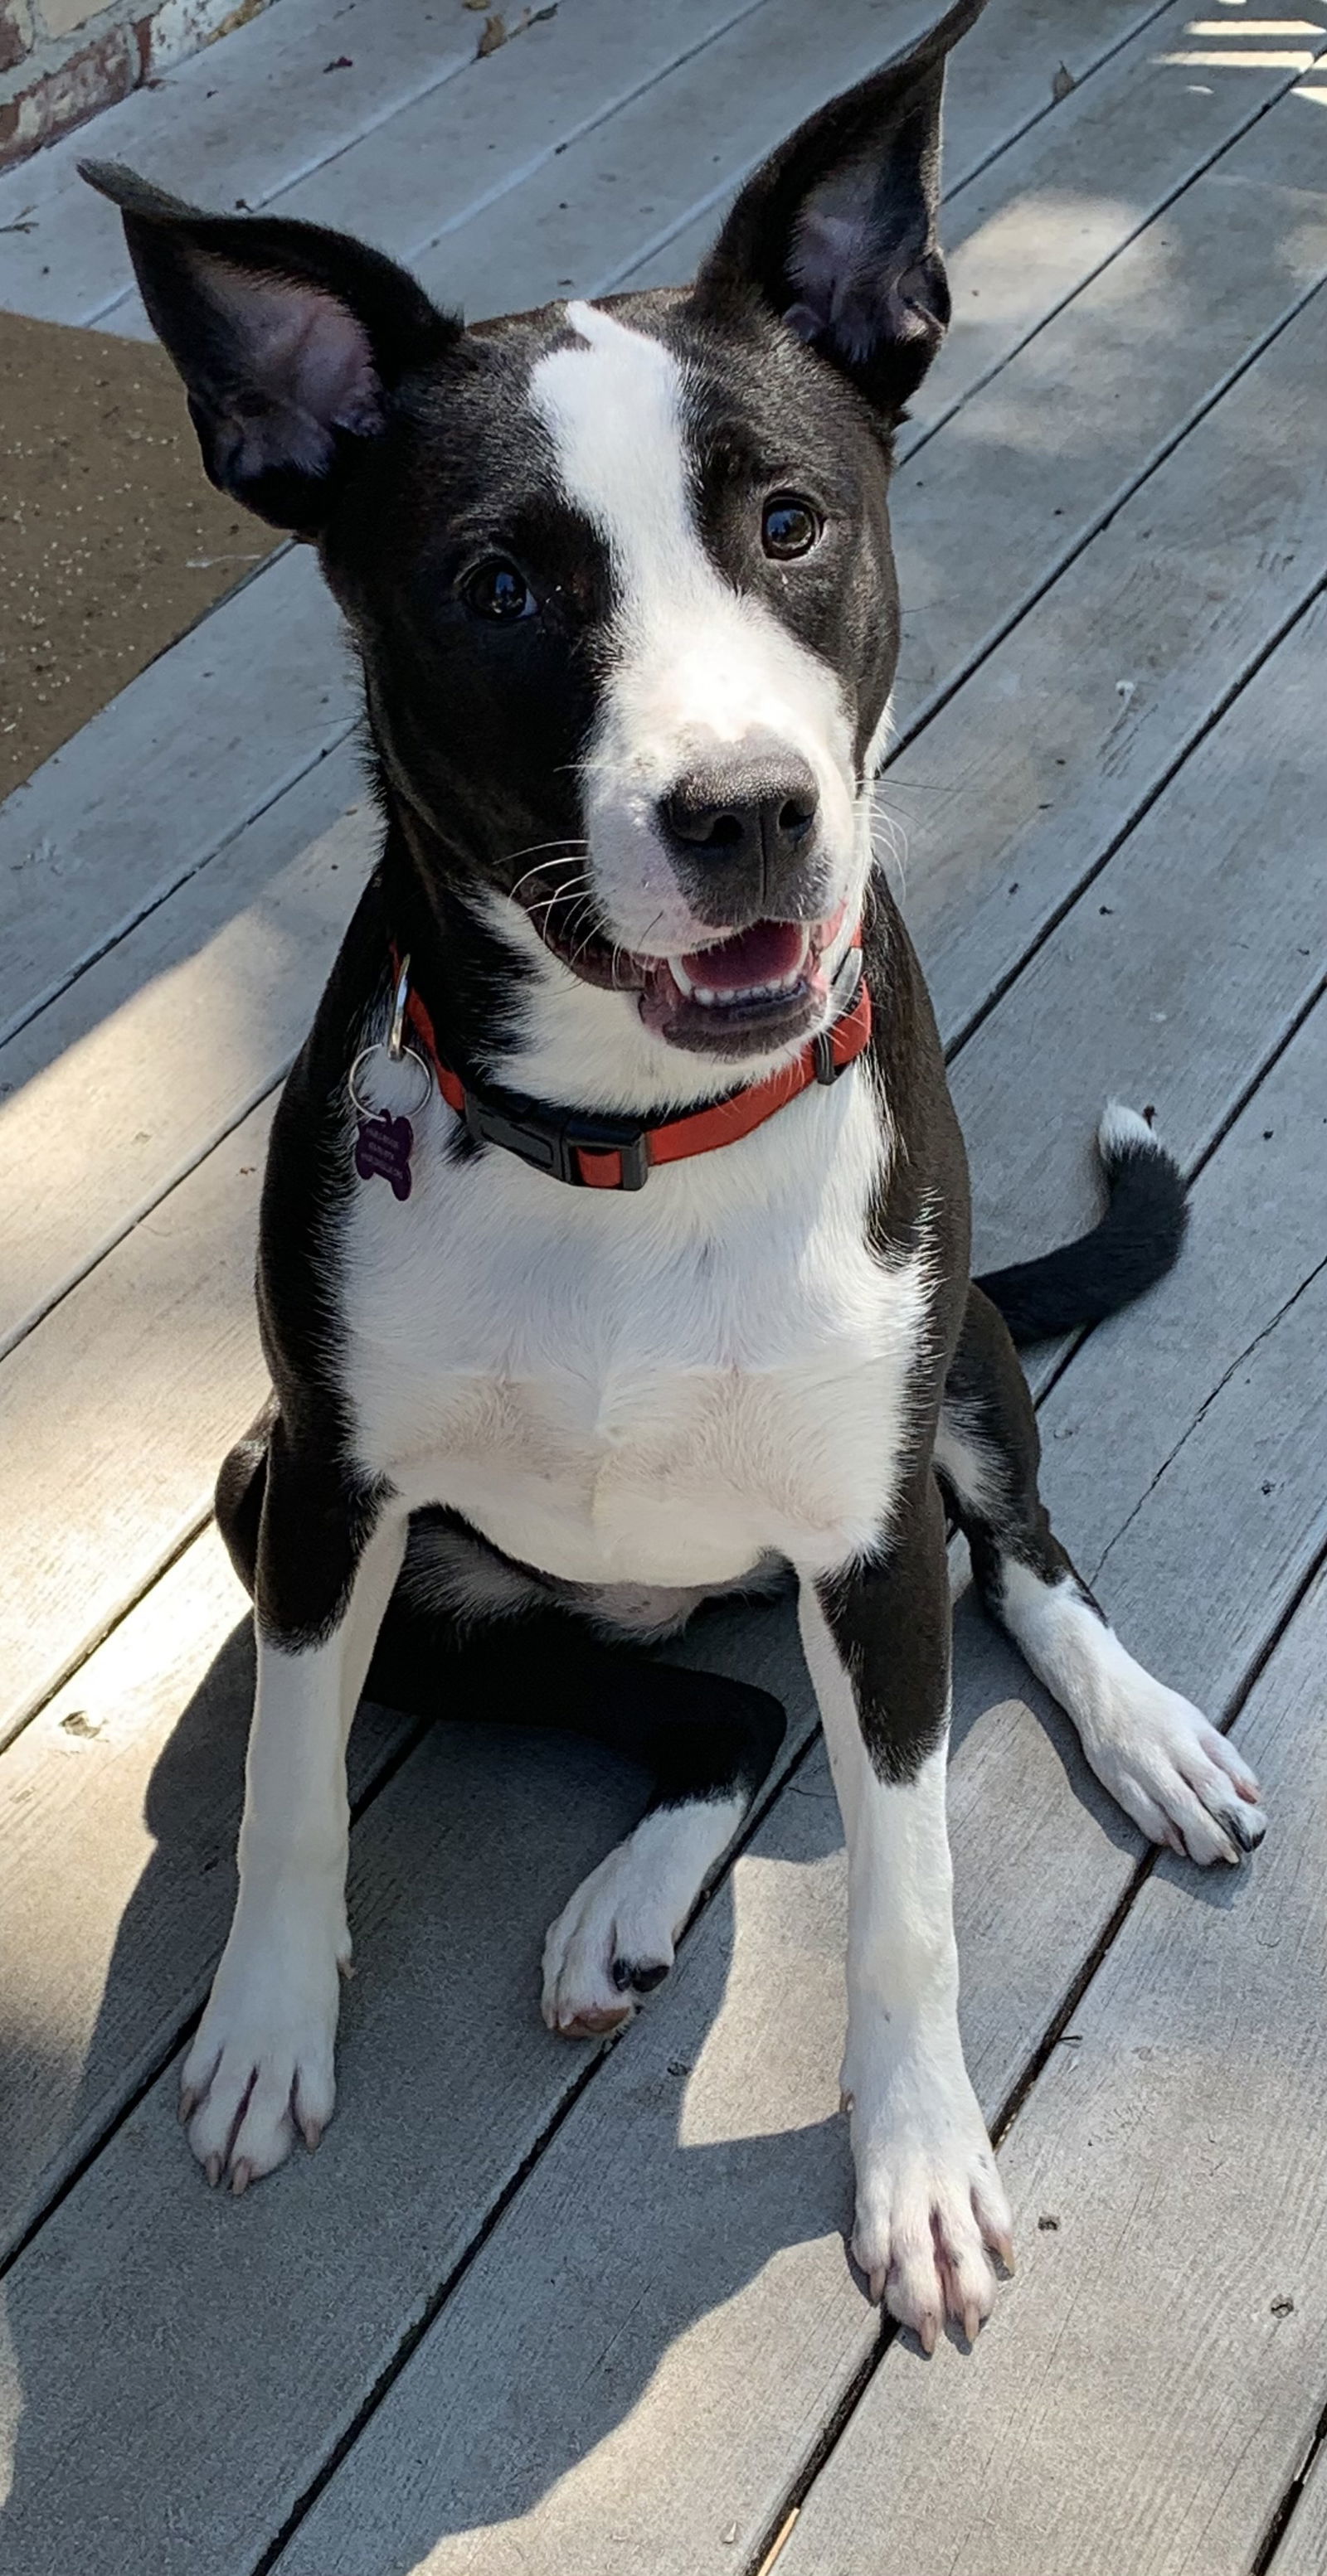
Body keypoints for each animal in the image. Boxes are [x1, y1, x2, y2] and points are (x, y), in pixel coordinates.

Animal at [83, 0, 1267, 2360]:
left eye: (790, 520)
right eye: (496, 586)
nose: (743, 813)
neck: (629, 1139)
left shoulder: (871, 1536)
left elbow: (908, 1895)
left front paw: (918, 2165)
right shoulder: (326, 1497)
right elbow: (285, 1783)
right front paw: (264, 2020)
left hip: (955, 1369)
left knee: (1022, 1558)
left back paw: (1145, 1726)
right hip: (345, 1532)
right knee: (708, 1712)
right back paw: (625, 1897)